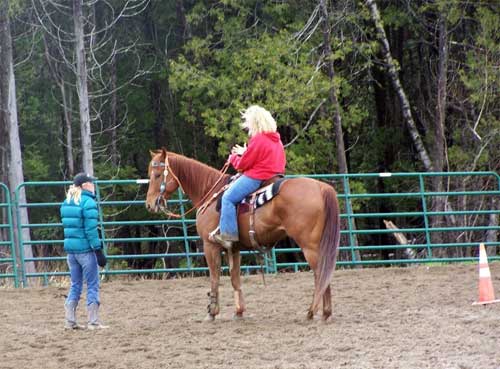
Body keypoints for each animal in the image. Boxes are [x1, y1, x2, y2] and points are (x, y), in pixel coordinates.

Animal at [145, 148, 340, 320]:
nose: (149, 204)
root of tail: (321, 187)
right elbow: (235, 278)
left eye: (157, 175)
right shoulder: (234, 248)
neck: (209, 192)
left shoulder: (210, 246)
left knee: (320, 274)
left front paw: (211, 312)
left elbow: (214, 278)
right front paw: (238, 312)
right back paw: (326, 312)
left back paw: (312, 311)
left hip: (309, 245)